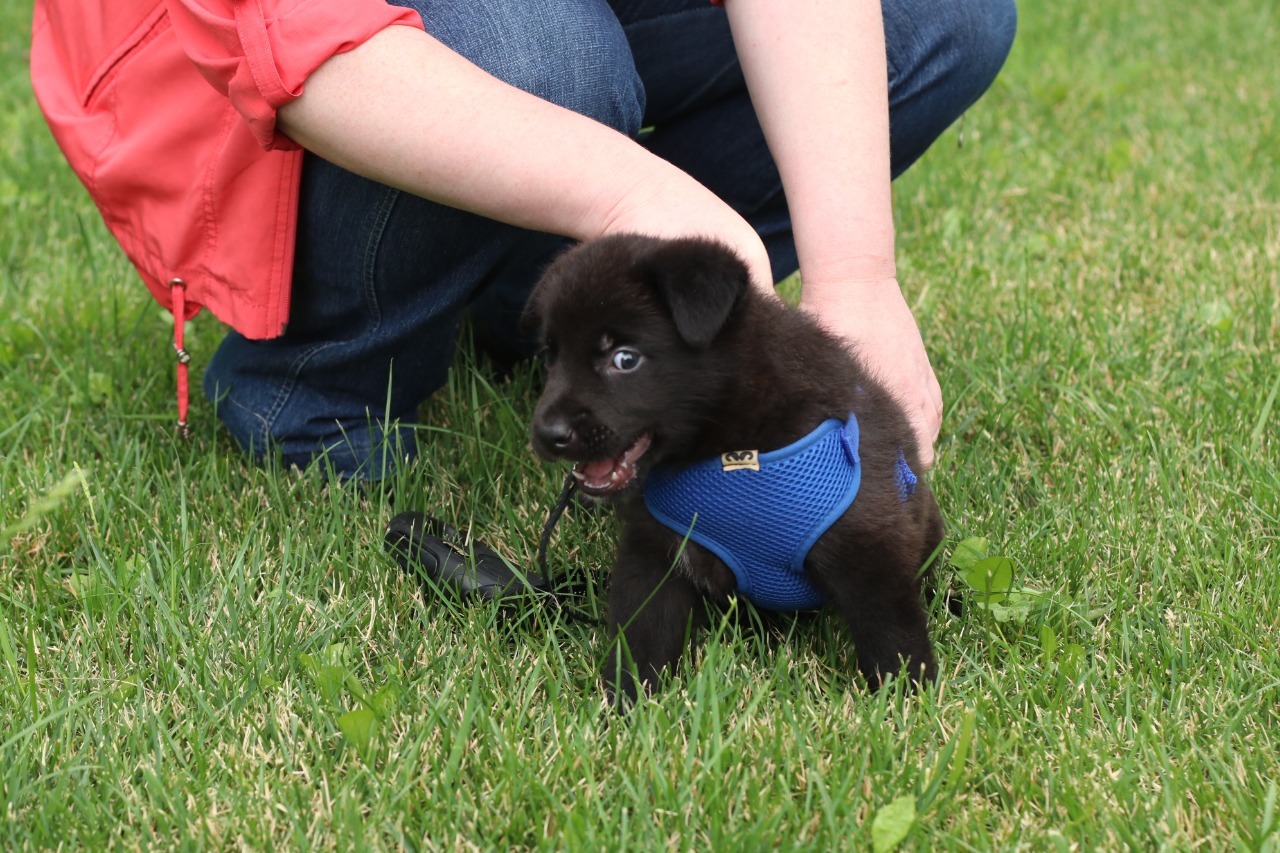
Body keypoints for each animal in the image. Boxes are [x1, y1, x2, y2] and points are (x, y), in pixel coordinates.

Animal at [524, 230, 947, 696]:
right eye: (550, 356)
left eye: (624, 358)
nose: (548, 434)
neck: (729, 449)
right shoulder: (653, 552)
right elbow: (641, 632)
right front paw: (625, 700)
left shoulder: (868, 543)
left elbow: (892, 633)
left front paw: (908, 696)